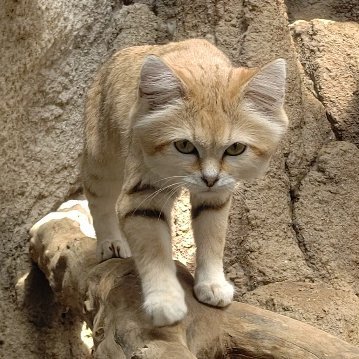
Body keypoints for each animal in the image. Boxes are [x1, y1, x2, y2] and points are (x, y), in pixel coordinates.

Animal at [82, 38, 290, 326]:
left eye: (235, 148)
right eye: (184, 146)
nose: (209, 178)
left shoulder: (216, 196)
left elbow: (213, 238)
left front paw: (212, 284)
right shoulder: (141, 197)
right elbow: (155, 251)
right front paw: (165, 301)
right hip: (102, 161)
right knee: (98, 200)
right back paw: (110, 243)